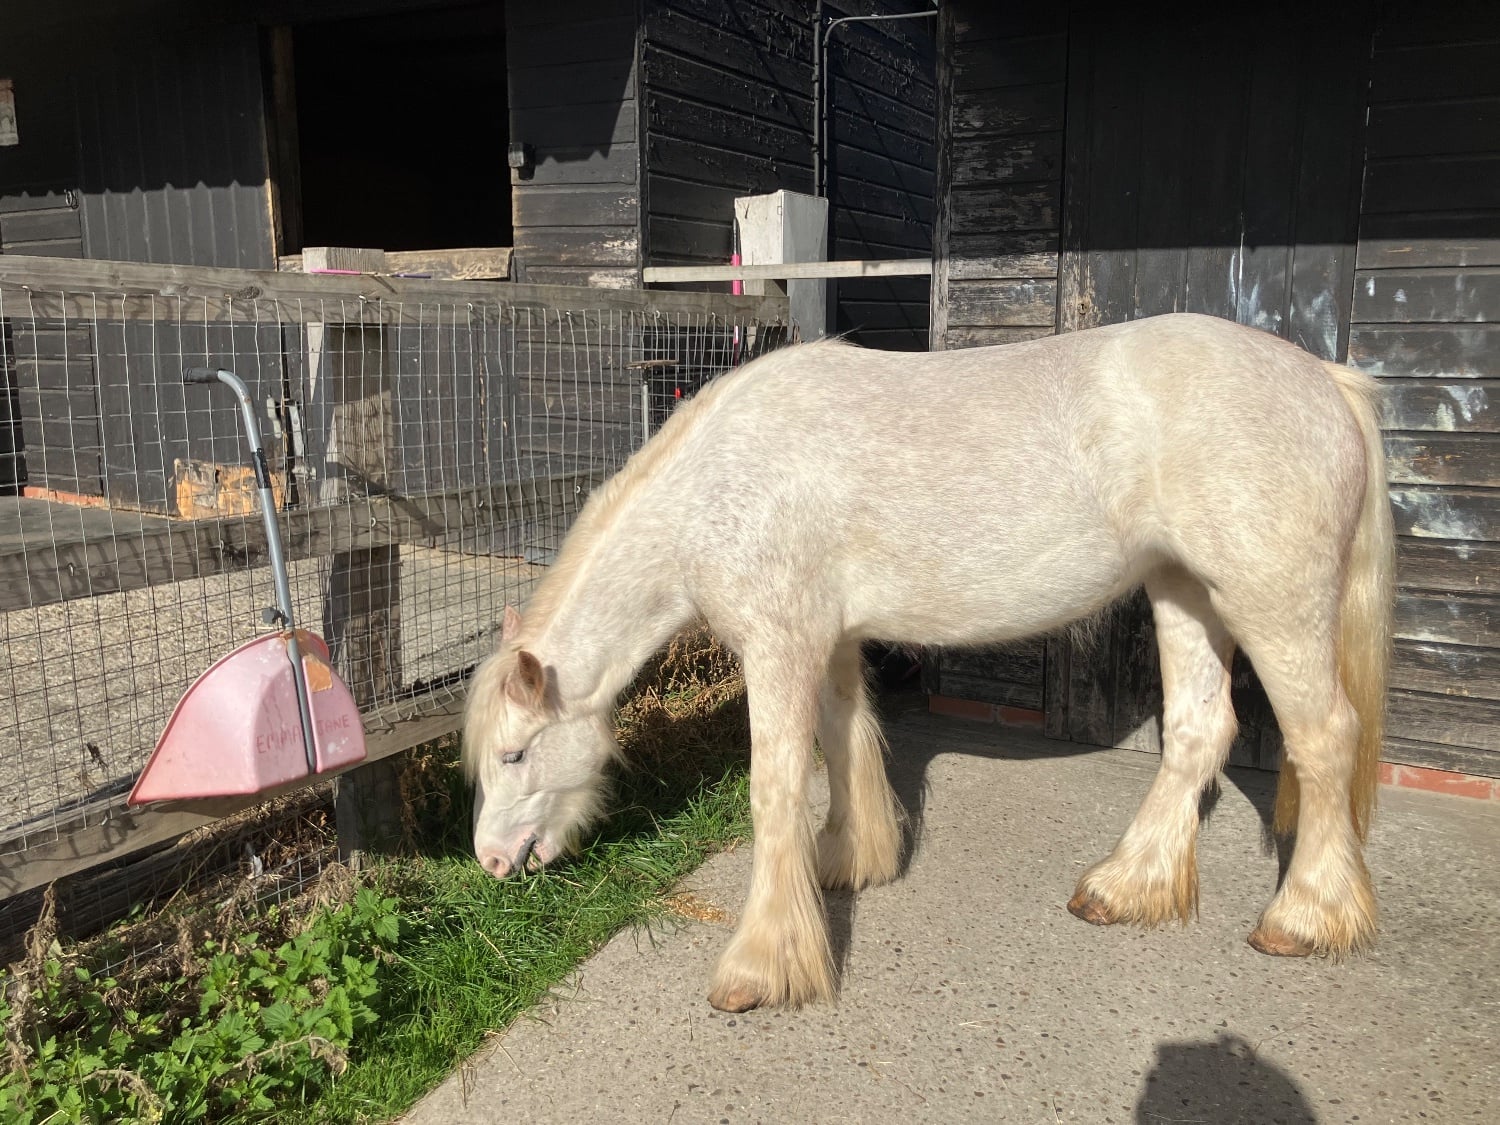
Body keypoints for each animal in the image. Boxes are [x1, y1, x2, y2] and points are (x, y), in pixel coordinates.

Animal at [462, 312, 1394, 1014]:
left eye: (514, 754)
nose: (492, 862)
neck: (720, 486)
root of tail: (1326, 379)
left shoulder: (780, 645)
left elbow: (774, 788)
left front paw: (761, 963)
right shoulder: (829, 641)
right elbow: (844, 745)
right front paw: (850, 860)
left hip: (1268, 603)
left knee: (1323, 737)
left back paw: (1305, 915)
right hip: (1184, 591)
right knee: (1200, 731)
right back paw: (1126, 886)